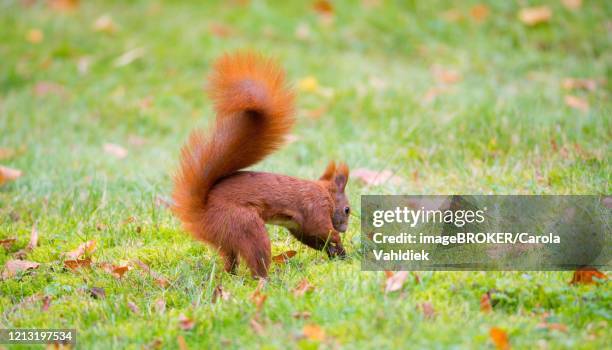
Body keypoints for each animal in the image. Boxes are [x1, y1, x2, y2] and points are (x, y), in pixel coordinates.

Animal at [172, 50, 352, 278]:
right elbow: (321, 229)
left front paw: (337, 251)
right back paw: (267, 279)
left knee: (230, 258)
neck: (324, 193)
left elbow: (312, 237)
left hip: (226, 236)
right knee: (256, 259)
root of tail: (200, 213)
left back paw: (232, 276)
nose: (344, 229)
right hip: (245, 226)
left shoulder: (300, 226)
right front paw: (337, 240)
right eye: (347, 209)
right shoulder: (315, 209)